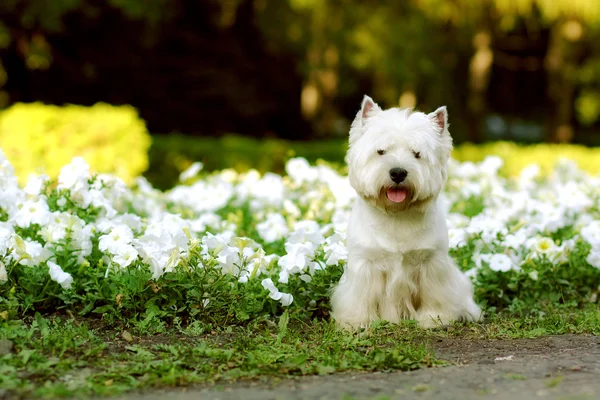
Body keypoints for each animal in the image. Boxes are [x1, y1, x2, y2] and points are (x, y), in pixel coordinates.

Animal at [332, 96, 482, 328]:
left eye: (417, 154)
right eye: (381, 151)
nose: (398, 173)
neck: (397, 214)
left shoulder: (431, 262)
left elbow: (434, 295)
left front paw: (434, 319)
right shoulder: (366, 263)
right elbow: (360, 297)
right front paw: (356, 322)